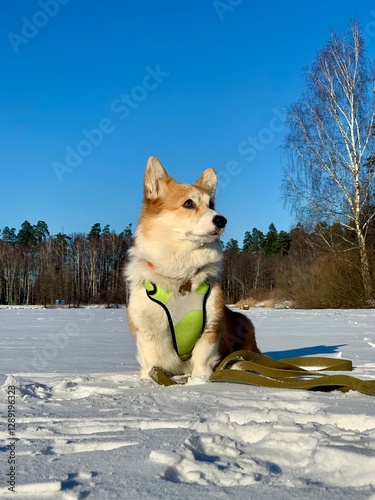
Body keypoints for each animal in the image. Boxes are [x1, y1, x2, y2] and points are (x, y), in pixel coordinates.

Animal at [126, 158, 262, 380]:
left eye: (211, 205)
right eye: (188, 203)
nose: (222, 220)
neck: (180, 276)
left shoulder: (210, 328)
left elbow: (202, 361)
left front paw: (200, 382)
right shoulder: (147, 330)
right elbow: (152, 363)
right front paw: (148, 381)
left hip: (244, 324)